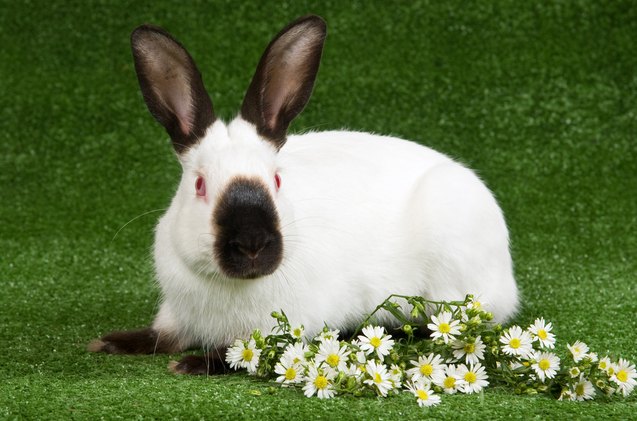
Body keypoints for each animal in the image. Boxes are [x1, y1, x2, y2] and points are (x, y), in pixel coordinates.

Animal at [89, 14, 516, 374]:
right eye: (199, 185)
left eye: (277, 180)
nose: (252, 244)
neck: (231, 284)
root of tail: (508, 279)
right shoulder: (176, 314)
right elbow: (160, 336)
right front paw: (109, 343)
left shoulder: (283, 327)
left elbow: (240, 354)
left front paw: (193, 364)